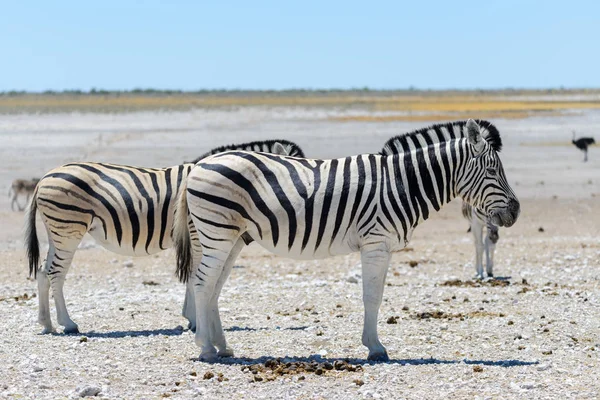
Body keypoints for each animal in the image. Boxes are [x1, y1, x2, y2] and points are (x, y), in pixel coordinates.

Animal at [24, 140, 304, 334]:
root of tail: (45, 177)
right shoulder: (196, 232)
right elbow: (194, 274)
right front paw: (194, 319)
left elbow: (192, 275)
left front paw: (191, 318)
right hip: (68, 229)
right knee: (55, 273)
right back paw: (68, 323)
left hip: (57, 232)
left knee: (43, 271)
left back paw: (47, 324)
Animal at [173, 119, 520, 362]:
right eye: (493, 170)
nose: (516, 211)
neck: (402, 183)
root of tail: (196, 166)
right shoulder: (375, 242)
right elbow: (372, 297)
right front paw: (376, 348)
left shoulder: (384, 246)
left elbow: (376, 295)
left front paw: (373, 344)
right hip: (217, 232)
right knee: (202, 283)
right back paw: (205, 349)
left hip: (231, 237)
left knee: (213, 286)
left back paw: (222, 346)